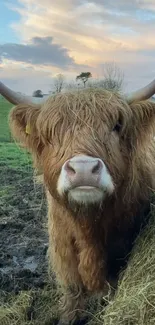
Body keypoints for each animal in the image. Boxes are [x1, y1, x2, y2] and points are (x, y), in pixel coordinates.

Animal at [0, 79, 155, 324]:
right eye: (50, 132)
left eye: (116, 126)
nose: (83, 169)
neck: (88, 228)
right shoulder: (64, 254)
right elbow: (73, 295)